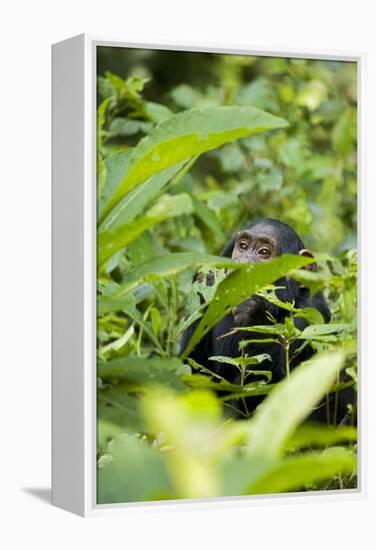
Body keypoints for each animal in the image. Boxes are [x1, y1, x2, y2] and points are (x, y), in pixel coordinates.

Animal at [181, 218, 354, 424]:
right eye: (243, 246)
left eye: (264, 253)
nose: (243, 263)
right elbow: (196, 374)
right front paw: (208, 280)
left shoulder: (309, 320)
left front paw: (253, 310)